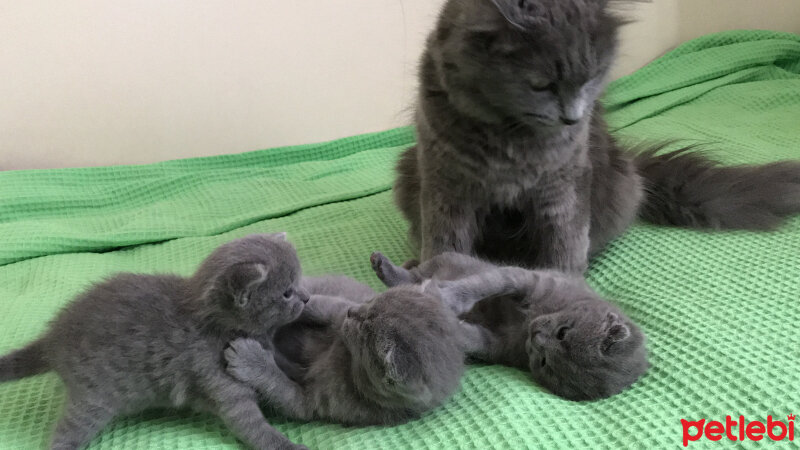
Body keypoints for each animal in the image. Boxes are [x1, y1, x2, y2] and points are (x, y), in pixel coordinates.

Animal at [0, 234, 310, 450]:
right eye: (287, 292)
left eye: (300, 281)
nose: (306, 298)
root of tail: (52, 339)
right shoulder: (220, 382)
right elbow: (253, 426)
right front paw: (287, 445)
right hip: (92, 399)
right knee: (68, 431)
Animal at [222, 274, 466, 426]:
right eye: (372, 300)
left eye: (365, 333)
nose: (353, 311)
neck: (345, 357)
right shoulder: (336, 309)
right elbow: (318, 304)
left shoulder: (313, 403)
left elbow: (280, 387)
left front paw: (249, 359)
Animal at [372, 251, 648, 402]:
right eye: (563, 333)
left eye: (544, 363)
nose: (536, 336)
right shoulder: (528, 278)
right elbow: (486, 284)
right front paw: (446, 297)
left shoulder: (499, 345)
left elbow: (471, 338)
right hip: (448, 259)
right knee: (415, 273)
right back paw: (385, 266)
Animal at [396, 0, 800, 270]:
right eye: (542, 85)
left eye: (591, 77)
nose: (573, 119)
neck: (509, 135)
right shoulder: (446, 185)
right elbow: (444, 243)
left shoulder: (563, 186)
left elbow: (566, 246)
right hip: (409, 171)